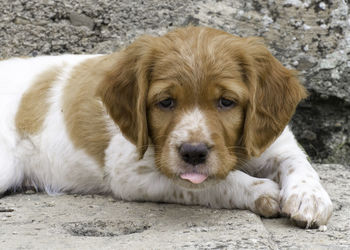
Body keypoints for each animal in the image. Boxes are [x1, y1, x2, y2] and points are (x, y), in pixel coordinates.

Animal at [0, 26, 332, 229]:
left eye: (226, 102)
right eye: (166, 102)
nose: (193, 153)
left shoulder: (275, 141)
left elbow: (299, 162)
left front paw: (310, 198)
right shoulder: (130, 172)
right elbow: (212, 183)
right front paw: (261, 190)